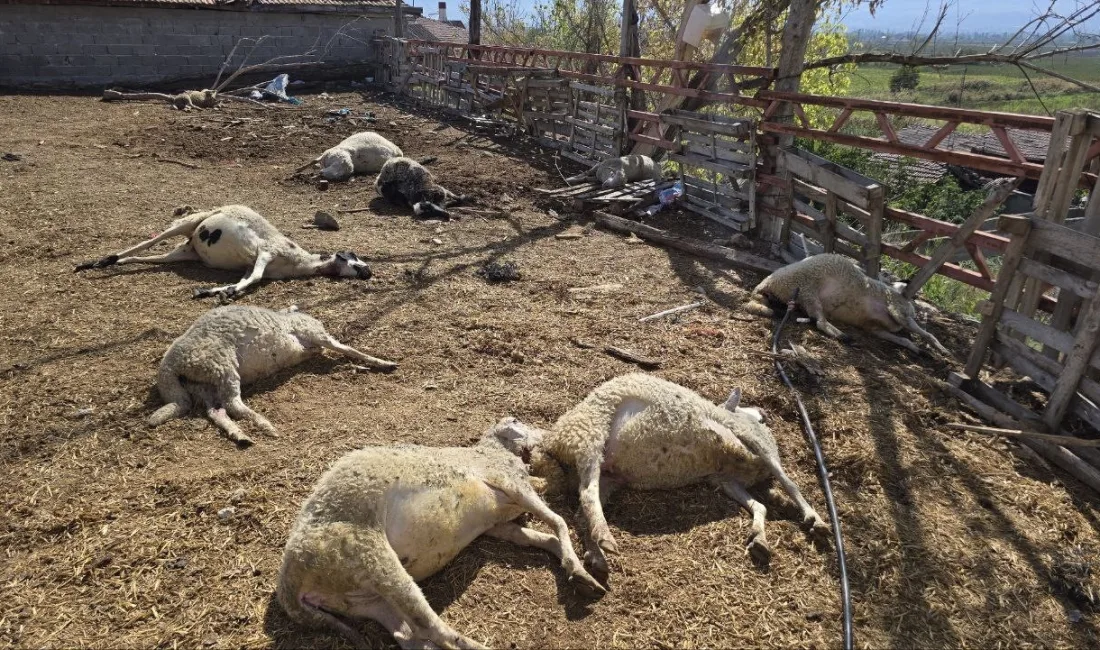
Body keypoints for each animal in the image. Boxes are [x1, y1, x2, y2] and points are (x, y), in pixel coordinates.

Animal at [76, 204, 374, 301]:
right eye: (355, 260)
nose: (369, 272)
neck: (300, 262)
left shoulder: (252, 265)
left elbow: (246, 279)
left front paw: (213, 292)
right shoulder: (265, 253)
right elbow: (254, 278)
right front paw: (224, 293)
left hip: (185, 253)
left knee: (149, 258)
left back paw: (100, 263)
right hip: (188, 223)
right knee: (149, 242)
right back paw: (98, 262)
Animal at [150, 305, 396, 448]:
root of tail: (169, 368)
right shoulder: (315, 334)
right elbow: (349, 349)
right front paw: (383, 363)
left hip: (203, 383)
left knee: (216, 411)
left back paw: (241, 435)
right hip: (222, 366)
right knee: (232, 404)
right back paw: (266, 426)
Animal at [275, 417, 602, 650]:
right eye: (518, 419)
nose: (548, 434)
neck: (492, 450)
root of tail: (289, 584)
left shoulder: (497, 524)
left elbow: (544, 537)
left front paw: (579, 574)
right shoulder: (511, 482)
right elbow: (558, 521)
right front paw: (583, 572)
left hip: (362, 599)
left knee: (409, 636)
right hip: (367, 555)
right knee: (431, 628)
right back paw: (481, 647)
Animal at [497, 373, 827, 576]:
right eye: (753, 415)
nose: (764, 413)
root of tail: (555, 441)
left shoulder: (722, 479)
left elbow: (760, 504)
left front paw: (759, 538)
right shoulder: (752, 441)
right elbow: (789, 481)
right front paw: (816, 520)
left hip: (609, 474)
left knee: (584, 505)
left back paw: (595, 552)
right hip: (591, 431)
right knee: (587, 493)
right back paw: (604, 540)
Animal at [752, 254, 950, 356]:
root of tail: (765, 284)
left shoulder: (874, 329)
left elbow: (903, 339)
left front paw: (918, 350)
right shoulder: (898, 310)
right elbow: (927, 334)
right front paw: (942, 350)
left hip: (804, 297)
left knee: (815, 319)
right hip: (808, 290)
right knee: (820, 322)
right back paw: (844, 336)